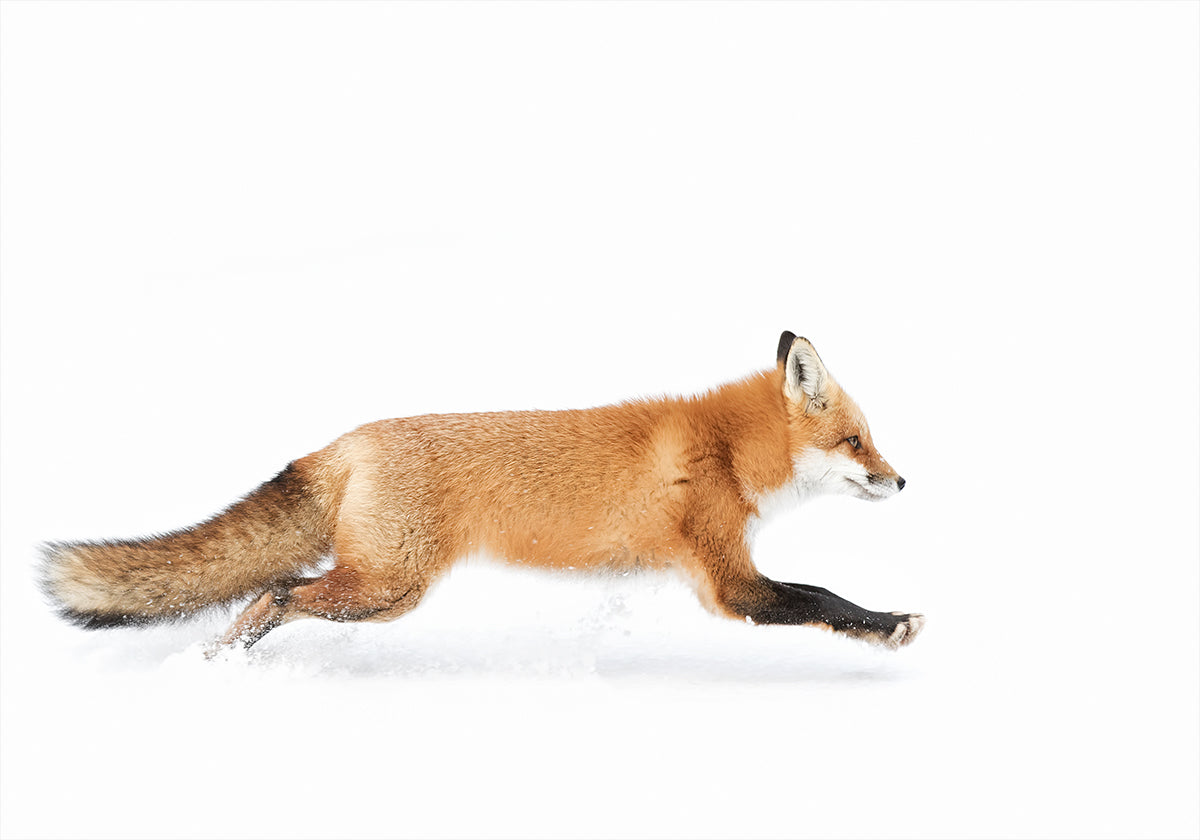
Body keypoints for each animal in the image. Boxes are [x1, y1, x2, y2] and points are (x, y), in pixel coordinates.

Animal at [40, 332, 924, 653]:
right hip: (384, 588)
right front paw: (891, 625)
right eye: (856, 442)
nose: (902, 479)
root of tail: (346, 441)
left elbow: (816, 593)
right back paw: (224, 663)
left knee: (273, 591)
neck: (726, 450)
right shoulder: (728, 581)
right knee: (275, 593)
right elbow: (821, 595)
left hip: (385, 592)